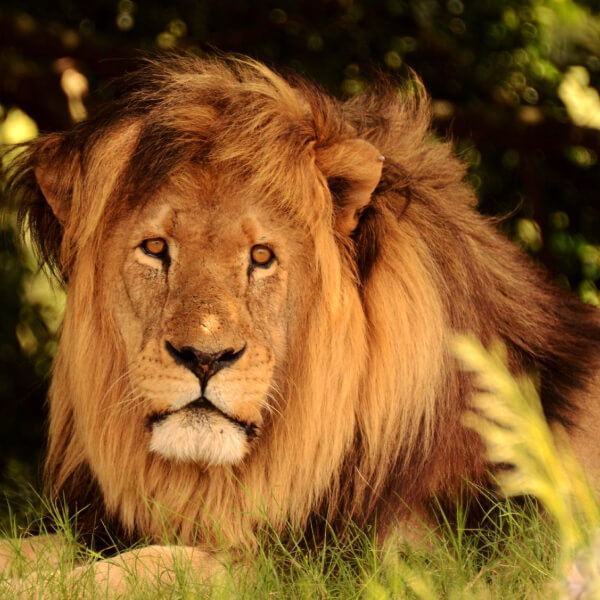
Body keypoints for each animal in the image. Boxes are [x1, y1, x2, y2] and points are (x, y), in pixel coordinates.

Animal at [3, 54, 600, 588]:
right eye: (155, 248)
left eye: (262, 257)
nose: (205, 358)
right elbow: (33, 546)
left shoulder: (377, 563)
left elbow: (151, 568)